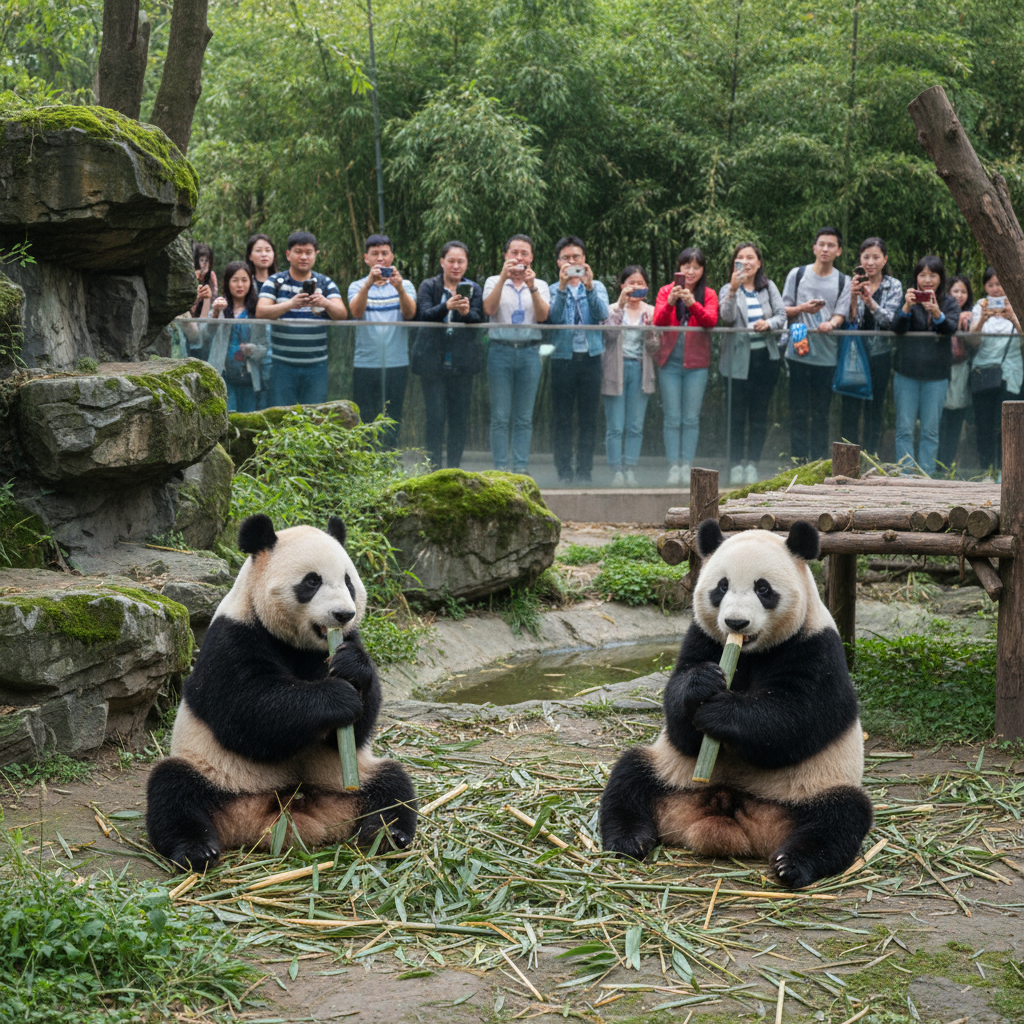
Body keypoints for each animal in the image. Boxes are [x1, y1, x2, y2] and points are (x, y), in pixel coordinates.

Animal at [146, 513, 417, 871]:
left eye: (348, 582)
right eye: (312, 582)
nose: (343, 614)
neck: (299, 646)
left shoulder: (345, 640)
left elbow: (358, 727)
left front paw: (353, 668)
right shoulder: (231, 639)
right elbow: (250, 713)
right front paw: (337, 697)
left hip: (346, 777)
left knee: (394, 785)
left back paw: (386, 834)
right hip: (217, 773)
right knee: (172, 790)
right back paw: (196, 850)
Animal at [600, 519, 872, 889]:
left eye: (763, 588)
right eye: (722, 586)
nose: (736, 623)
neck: (750, 651)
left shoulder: (817, 647)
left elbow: (797, 719)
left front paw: (720, 713)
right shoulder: (703, 637)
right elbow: (678, 719)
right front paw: (702, 684)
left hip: (813, 785)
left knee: (842, 816)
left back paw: (792, 864)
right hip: (669, 771)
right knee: (629, 778)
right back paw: (629, 840)